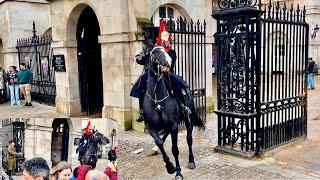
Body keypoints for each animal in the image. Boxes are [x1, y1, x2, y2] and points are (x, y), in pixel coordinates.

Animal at [143, 46, 204, 180]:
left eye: (167, 51)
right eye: (155, 52)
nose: (168, 62)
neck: (157, 100)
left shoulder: (174, 126)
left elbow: (175, 149)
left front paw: (178, 172)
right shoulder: (151, 127)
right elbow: (159, 142)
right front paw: (170, 167)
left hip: (188, 120)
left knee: (189, 139)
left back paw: (191, 161)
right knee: (163, 137)